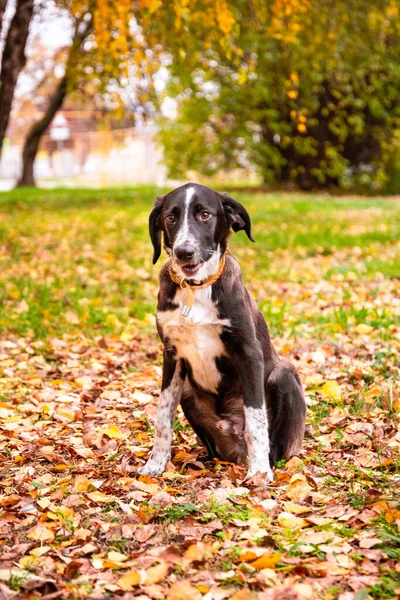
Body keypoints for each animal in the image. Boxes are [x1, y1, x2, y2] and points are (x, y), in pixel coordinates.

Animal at [138, 183, 306, 482]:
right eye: (170, 218)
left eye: (204, 214)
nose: (184, 252)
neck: (195, 288)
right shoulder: (171, 355)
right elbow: (163, 415)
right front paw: (156, 463)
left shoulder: (248, 352)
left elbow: (255, 418)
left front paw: (259, 471)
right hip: (189, 393)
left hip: (284, 374)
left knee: (273, 444)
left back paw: (263, 463)